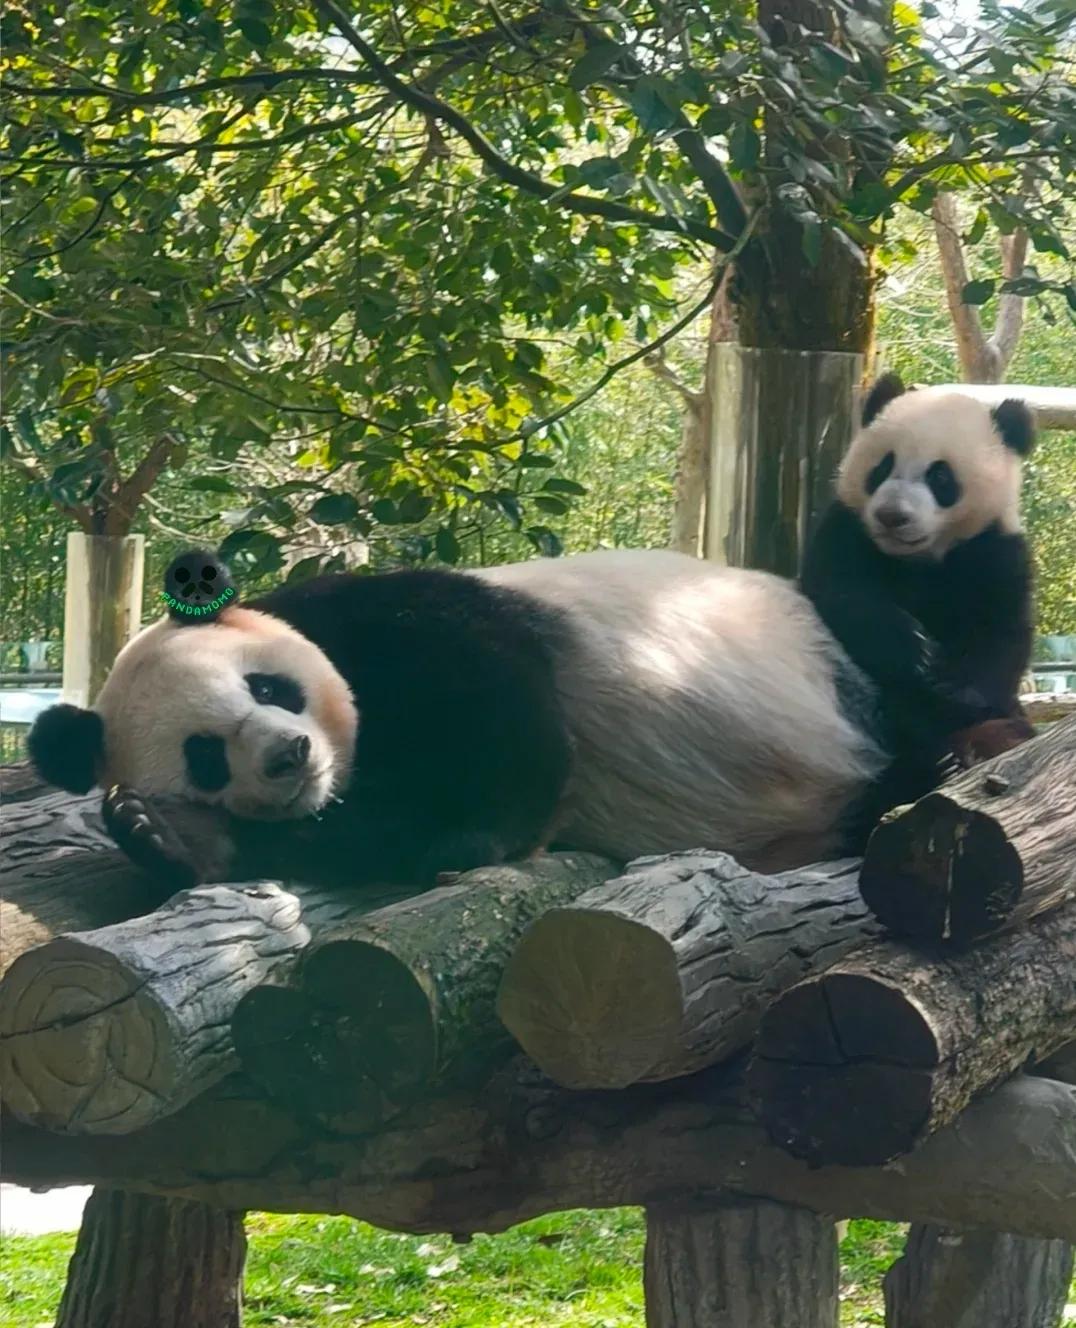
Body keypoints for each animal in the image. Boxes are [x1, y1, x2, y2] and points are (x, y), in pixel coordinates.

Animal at [31, 544, 887, 897]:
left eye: (267, 688)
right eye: (205, 755)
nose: (287, 757)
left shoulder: (403, 620)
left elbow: (504, 717)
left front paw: (471, 838)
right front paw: (169, 834)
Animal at [802, 371, 1036, 818]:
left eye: (940, 477)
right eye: (883, 466)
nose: (892, 516)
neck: (918, 559)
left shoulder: (995, 553)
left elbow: (1000, 639)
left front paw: (951, 689)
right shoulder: (846, 531)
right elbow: (839, 596)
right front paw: (911, 647)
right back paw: (930, 767)